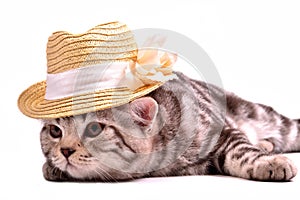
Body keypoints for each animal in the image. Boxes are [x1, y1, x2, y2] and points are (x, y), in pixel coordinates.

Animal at [40, 71, 300, 181]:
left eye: (94, 129)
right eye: (55, 131)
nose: (65, 150)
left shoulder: (220, 130)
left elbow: (242, 151)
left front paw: (268, 163)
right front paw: (51, 167)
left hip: (267, 117)